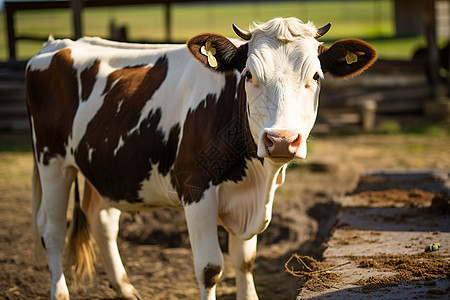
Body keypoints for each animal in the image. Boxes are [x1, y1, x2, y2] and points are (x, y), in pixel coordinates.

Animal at [25, 17, 376, 298]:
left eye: (316, 77)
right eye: (249, 75)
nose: (281, 140)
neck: (257, 179)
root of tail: (59, 44)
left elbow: (245, 262)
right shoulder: (195, 190)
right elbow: (210, 269)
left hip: (107, 168)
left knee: (102, 222)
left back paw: (127, 290)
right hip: (52, 161)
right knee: (51, 230)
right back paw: (61, 292)